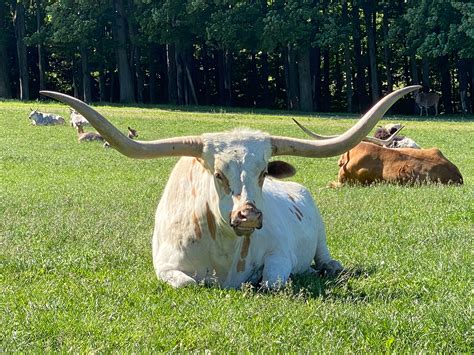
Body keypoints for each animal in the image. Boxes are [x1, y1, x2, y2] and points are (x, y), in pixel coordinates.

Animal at [39, 86, 418, 290]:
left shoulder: (280, 254)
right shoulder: (165, 266)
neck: (223, 249)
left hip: (321, 235)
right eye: (218, 174)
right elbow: (191, 282)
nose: (248, 215)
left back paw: (327, 267)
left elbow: (272, 280)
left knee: (326, 259)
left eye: (263, 172)